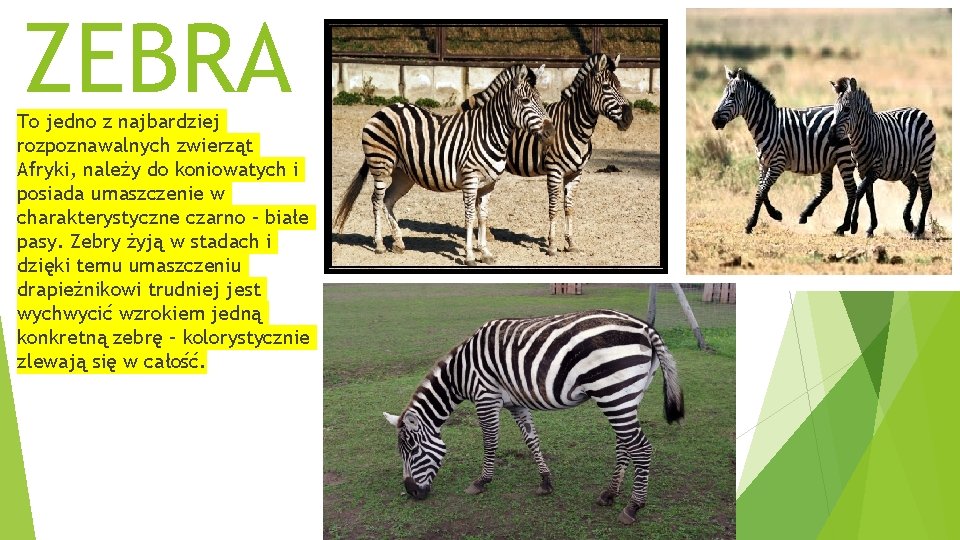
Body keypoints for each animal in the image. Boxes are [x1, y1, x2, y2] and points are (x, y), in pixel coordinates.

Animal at [333, 64, 556, 266]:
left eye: (540, 100)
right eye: (526, 101)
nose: (551, 133)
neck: (489, 132)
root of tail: (384, 109)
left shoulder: (489, 184)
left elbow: (483, 217)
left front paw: (485, 253)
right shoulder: (470, 179)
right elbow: (469, 216)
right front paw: (470, 256)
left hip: (403, 175)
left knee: (388, 200)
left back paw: (398, 243)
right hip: (380, 166)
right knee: (376, 200)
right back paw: (379, 245)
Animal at [383, 309, 684, 525]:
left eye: (412, 450)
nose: (411, 493)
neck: (462, 372)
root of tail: (643, 326)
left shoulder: (486, 396)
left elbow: (490, 442)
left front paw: (481, 482)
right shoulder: (515, 403)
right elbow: (532, 440)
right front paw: (546, 482)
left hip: (613, 392)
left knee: (641, 448)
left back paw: (633, 506)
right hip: (627, 395)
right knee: (625, 443)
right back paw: (609, 493)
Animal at [460, 54, 633, 255]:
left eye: (620, 85)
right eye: (606, 87)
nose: (629, 118)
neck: (576, 126)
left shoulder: (575, 173)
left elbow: (569, 208)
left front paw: (570, 243)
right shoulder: (554, 171)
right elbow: (553, 208)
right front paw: (551, 245)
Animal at [711, 67, 860, 235]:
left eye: (732, 95)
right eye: (723, 93)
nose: (714, 120)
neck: (768, 124)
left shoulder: (778, 163)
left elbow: (762, 191)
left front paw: (752, 223)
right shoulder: (763, 164)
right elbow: (761, 190)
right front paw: (774, 214)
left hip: (844, 157)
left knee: (851, 189)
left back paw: (844, 226)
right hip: (828, 160)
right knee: (826, 187)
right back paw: (805, 214)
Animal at [828, 77, 937, 239]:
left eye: (846, 109)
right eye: (834, 109)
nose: (831, 138)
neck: (864, 135)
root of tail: (919, 110)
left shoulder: (875, 169)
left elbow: (859, 192)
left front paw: (853, 225)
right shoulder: (862, 171)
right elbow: (869, 198)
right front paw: (871, 227)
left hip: (923, 162)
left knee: (926, 192)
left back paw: (919, 230)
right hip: (903, 169)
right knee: (914, 186)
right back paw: (909, 223)